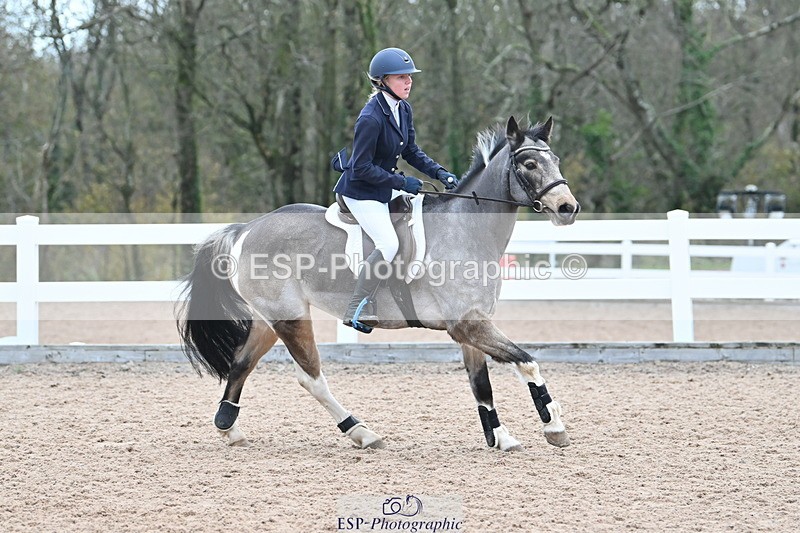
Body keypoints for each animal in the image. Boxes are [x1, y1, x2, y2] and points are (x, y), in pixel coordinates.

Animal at [178, 116, 580, 451]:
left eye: (557, 160)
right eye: (529, 164)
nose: (567, 208)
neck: (465, 230)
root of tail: (245, 228)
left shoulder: (471, 327)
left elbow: (482, 385)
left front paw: (499, 436)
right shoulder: (468, 324)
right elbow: (527, 362)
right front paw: (553, 426)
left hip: (269, 319)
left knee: (240, 364)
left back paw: (229, 428)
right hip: (290, 318)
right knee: (311, 379)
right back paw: (361, 432)